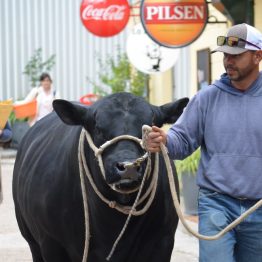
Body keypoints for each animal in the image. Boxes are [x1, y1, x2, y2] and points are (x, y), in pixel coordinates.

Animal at [12, 93, 188, 260]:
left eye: (151, 126)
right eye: (97, 127)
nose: (128, 166)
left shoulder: (163, 241)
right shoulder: (51, 243)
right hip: (31, 240)